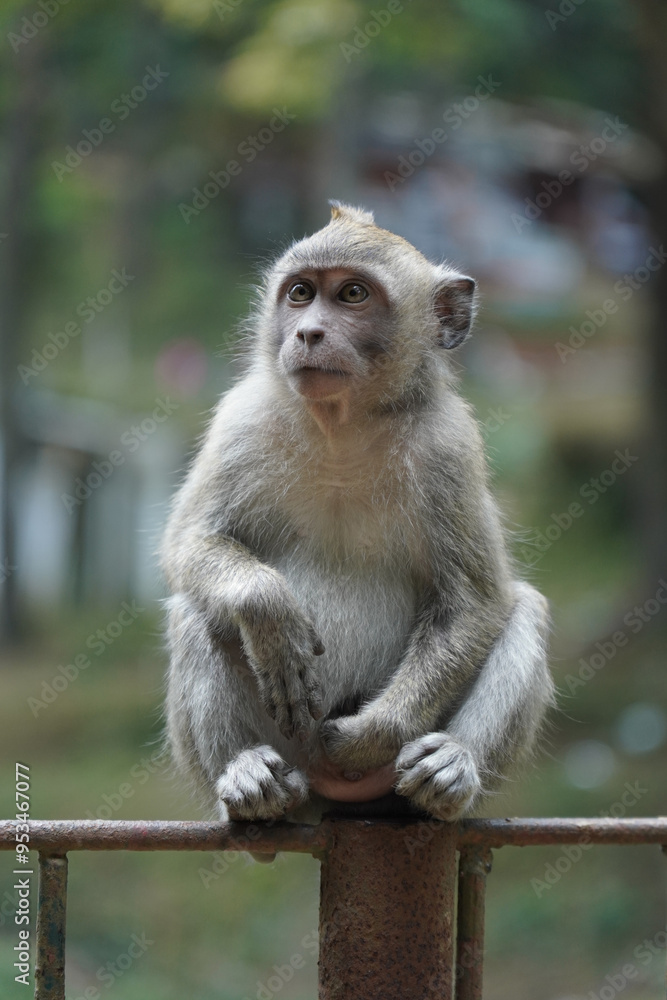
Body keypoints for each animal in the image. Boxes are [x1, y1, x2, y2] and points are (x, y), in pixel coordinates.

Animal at [161, 201, 554, 825]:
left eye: (352, 294)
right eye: (300, 293)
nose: (308, 332)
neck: (342, 426)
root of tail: (331, 793)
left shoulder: (449, 448)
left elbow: (475, 601)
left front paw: (374, 733)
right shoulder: (242, 420)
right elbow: (191, 543)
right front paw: (269, 614)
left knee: (524, 611)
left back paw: (451, 771)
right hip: (289, 745)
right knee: (196, 609)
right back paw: (247, 778)